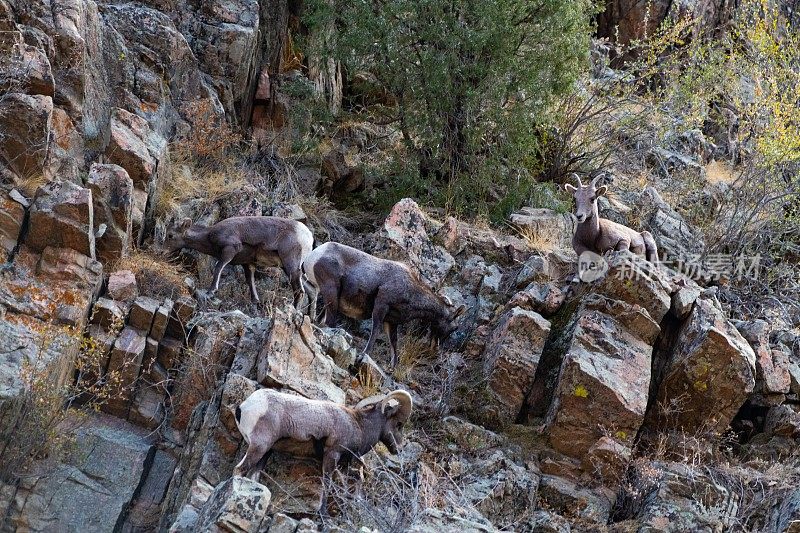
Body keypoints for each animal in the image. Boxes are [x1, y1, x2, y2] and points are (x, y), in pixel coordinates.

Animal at [162, 215, 312, 308]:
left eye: (170, 235)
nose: (162, 252)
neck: (209, 236)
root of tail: (308, 236)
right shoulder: (248, 264)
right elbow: (250, 282)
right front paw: (255, 301)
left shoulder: (230, 250)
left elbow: (218, 268)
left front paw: (211, 291)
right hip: (295, 270)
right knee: (310, 290)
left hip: (290, 265)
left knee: (300, 291)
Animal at [233, 386, 412, 478]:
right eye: (398, 424)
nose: (399, 449)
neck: (360, 426)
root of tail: (244, 407)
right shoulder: (331, 456)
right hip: (259, 447)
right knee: (239, 470)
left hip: (266, 453)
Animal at [300, 242, 466, 370]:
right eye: (454, 327)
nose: (435, 350)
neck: (412, 291)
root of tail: (313, 256)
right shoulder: (381, 306)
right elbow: (375, 332)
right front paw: (363, 356)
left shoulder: (391, 322)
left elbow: (393, 343)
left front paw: (392, 368)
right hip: (331, 293)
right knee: (329, 321)